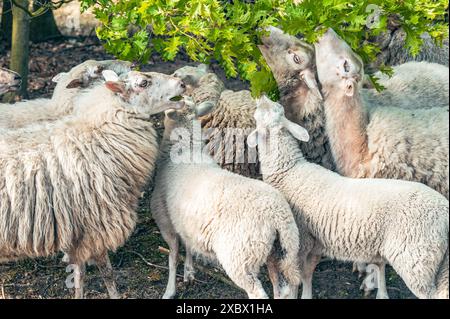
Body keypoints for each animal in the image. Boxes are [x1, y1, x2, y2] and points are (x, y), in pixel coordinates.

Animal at [0, 70, 186, 300]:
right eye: (144, 83)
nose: (182, 83)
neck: (96, 136)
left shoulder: (79, 232)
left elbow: (79, 274)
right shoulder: (97, 226)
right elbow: (107, 274)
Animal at [248, 96, 448, 302]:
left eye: (263, 114)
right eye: (278, 108)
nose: (262, 97)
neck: (288, 171)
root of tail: (444, 211)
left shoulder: (300, 240)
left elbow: (294, 280)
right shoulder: (315, 243)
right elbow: (307, 274)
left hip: (417, 260)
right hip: (438, 262)